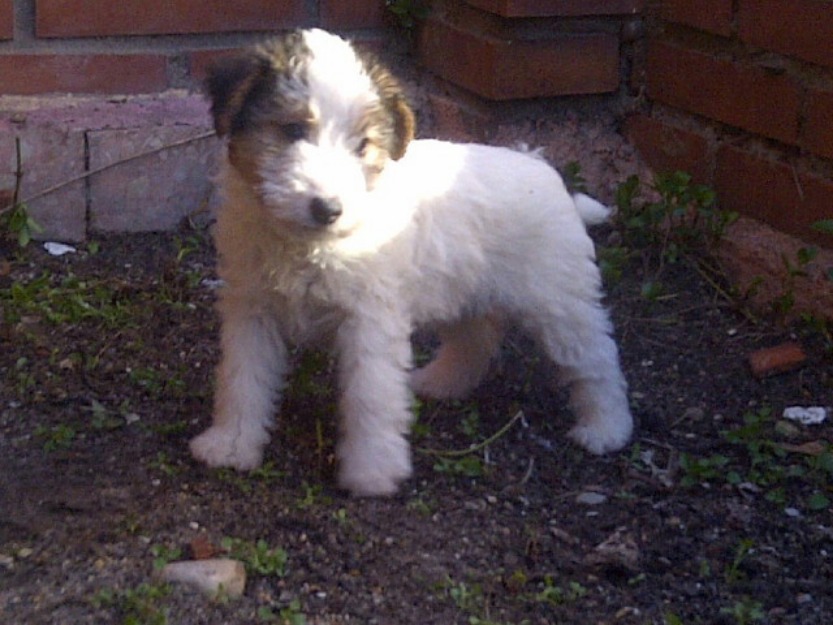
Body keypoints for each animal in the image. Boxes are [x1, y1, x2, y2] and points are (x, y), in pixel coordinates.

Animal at [188, 29, 632, 494]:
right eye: (292, 129)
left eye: (363, 145)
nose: (327, 209)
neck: (307, 246)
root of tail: (544, 168)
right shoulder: (251, 312)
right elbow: (242, 379)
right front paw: (230, 445)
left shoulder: (370, 323)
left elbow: (371, 395)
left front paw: (372, 472)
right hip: (461, 292)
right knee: (474, 342)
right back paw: (436, 383)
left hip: (559, 303)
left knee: (597, 359)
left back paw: (606, 429)